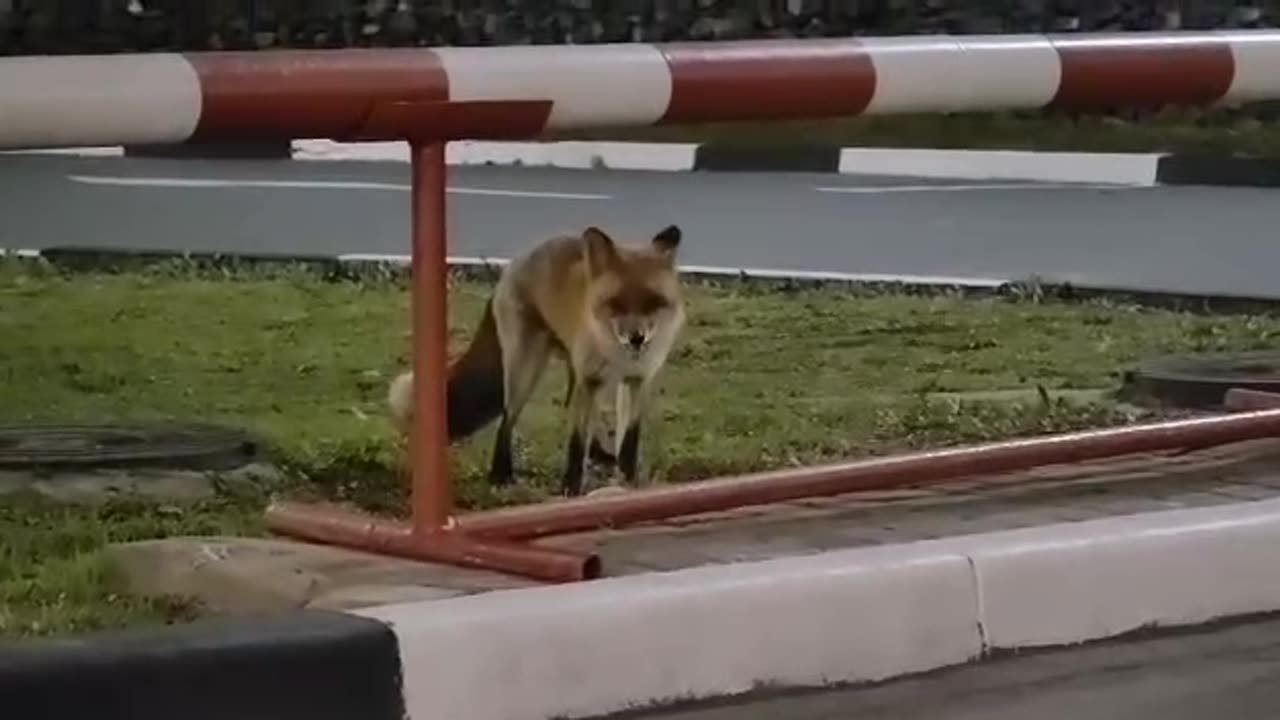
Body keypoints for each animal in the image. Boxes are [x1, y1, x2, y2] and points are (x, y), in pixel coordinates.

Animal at [386, 224, 686, 491]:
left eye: (653, 302)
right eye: (616, 304)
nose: (637, 338)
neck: (617, 355)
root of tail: (513, 265)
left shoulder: (637, 380)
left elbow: (629, 441)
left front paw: (629, 481)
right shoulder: (591, 379)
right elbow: (576, 443)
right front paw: (570, 489)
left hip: (573, 370)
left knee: (574, 410)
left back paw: (600, 454)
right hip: (526, 371)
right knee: (507, 420)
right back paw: (500, 474)